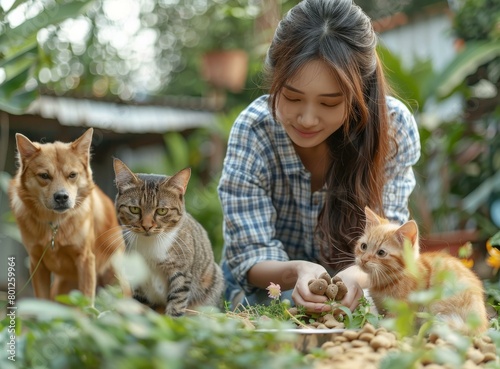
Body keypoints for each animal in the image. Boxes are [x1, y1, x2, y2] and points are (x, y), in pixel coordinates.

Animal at [8, 128, 129, 304]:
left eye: (72, 175)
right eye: (44, 176)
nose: (61, 197)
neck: (55, 225)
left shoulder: (85, 260)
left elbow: (86, 302)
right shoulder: (36, 263)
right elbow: (42, 301)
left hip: (116, 282)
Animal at [114, 157, 224, 314]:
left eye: (162, 211)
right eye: (134, 209)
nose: (147, 226)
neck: (150, 245)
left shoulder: (181, 273)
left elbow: (176, 304)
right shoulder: (136, 274)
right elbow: (139, 306)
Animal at [356, 206, 488, 334]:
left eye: (381, 253)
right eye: (363, 246)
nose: (363, 259)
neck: (385, 279)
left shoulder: (402, 309)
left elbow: (391, 324)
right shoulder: (381, 307)